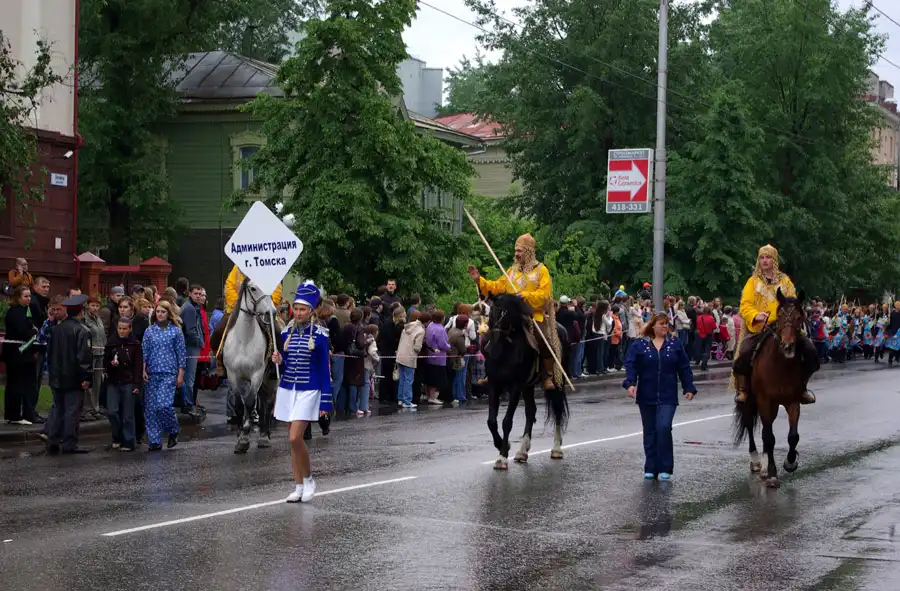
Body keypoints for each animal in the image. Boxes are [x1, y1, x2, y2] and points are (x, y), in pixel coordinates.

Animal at [222, 278, 279, 453]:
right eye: (253, 288)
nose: (271, 313)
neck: (244, 340)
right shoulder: (233, 375)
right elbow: (239, 405)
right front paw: (241, 437)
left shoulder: (257, 374)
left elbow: (249, 402)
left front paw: (246, 434)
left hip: (270, 379)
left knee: (267, 403)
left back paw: (265, 436)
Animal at [483, 294, 569, 470]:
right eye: (490, 312)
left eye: (504, 312)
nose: (491, 349)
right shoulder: (494, 386)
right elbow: (491, 421)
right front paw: (503, 445)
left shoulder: (515, 387)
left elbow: (506, 422)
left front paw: (502, 457)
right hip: (528, 386)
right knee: (531, 411)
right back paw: (522, 451)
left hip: (558, 382)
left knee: (557, 410)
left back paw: (556, 448)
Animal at [733, 288, 808, 488]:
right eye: (780, 315)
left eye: (799, 317)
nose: (788, 346)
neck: (780, 366)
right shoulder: (764, 401)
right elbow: (769, 437)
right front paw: (773, 474)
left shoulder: (792, 401)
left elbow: (793, 436)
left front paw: (790, 462)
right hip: (750, 401)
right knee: (751, 425)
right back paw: (757, 462)